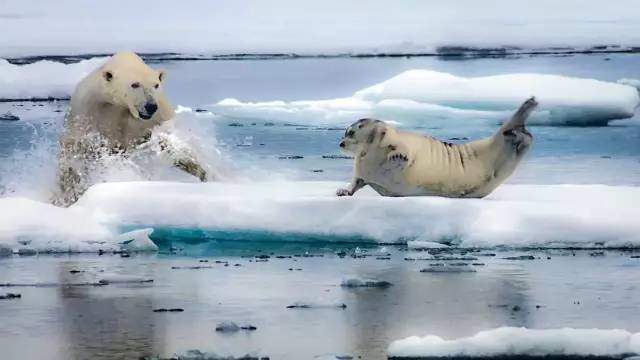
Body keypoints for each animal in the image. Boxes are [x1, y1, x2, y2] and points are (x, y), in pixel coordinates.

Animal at [53, 51, 208, 207]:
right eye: (135, 84)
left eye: (156, 85)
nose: (150, 106)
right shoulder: (86, 111)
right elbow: (74, 149)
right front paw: (71, 192)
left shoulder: (156, 117)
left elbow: (171, 142)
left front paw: (201, 172)